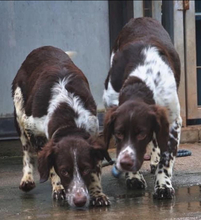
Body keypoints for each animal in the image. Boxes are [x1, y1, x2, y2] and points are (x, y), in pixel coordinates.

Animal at [11, 45, 110, 207]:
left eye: (85, 169)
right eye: (65, 171)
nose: (79, 200)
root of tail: (43, 47)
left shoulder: (93, 132)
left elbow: (95, 170)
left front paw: (97, 193)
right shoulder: (33, 130)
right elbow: (49, 165)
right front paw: (58, 188)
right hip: (19, 112)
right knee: (26, 151)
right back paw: (27, 179)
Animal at [103, 17, 181, 199]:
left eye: (142, 134)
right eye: (118, 133)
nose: (125, 163)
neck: (140, 83)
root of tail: (141, 18)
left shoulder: (172, 121)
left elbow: (166, 156)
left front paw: (163, 185)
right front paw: (133, 177)